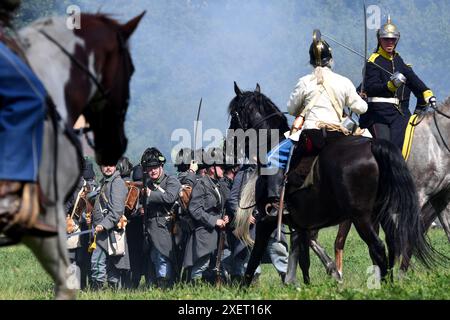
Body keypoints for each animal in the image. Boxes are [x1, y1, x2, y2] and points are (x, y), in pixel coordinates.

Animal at [229, 82, 436, 284]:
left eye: (234, 114)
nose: (230, 145)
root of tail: (373, 145)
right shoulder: (302, 223)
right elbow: (303, 259)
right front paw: (306, 283)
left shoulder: (266, 221)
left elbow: (254, 259)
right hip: (381, 212)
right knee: (393, 243)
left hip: (362, 217)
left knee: (377, 247)